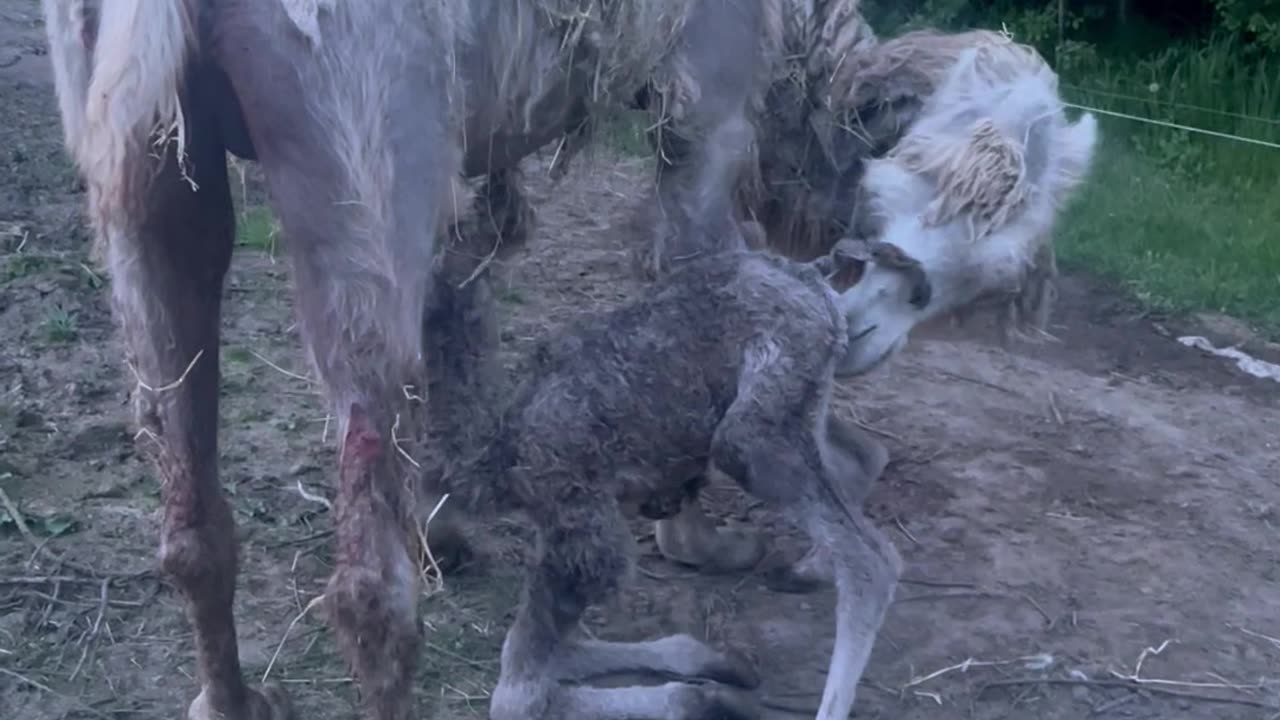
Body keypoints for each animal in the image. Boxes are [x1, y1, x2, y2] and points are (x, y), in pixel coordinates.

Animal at [422, 238, 931, 712]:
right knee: (858, 467)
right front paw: (716, 670)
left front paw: (705, 697)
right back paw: (802, 575)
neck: (497, 452)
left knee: (870, 560)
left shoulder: (581, 536)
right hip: (803, 406)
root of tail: (811, 277)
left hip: (749, 435)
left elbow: (519, 694)